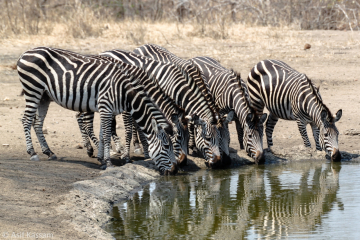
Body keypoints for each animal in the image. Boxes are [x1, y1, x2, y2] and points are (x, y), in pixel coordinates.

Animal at [17, 47, 178, 174]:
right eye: (166, 146)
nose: (175, 170)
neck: (124, 92)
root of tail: (25, 53)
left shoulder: (106, 110)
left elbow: (102, 135)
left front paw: (102, 160)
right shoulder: (106, 108)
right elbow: (106, 135)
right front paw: (109, 162)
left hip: (44, 97)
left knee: (37, 123)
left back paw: (49, 152)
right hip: (33, 90)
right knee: (26, 120)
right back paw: (32, 153)